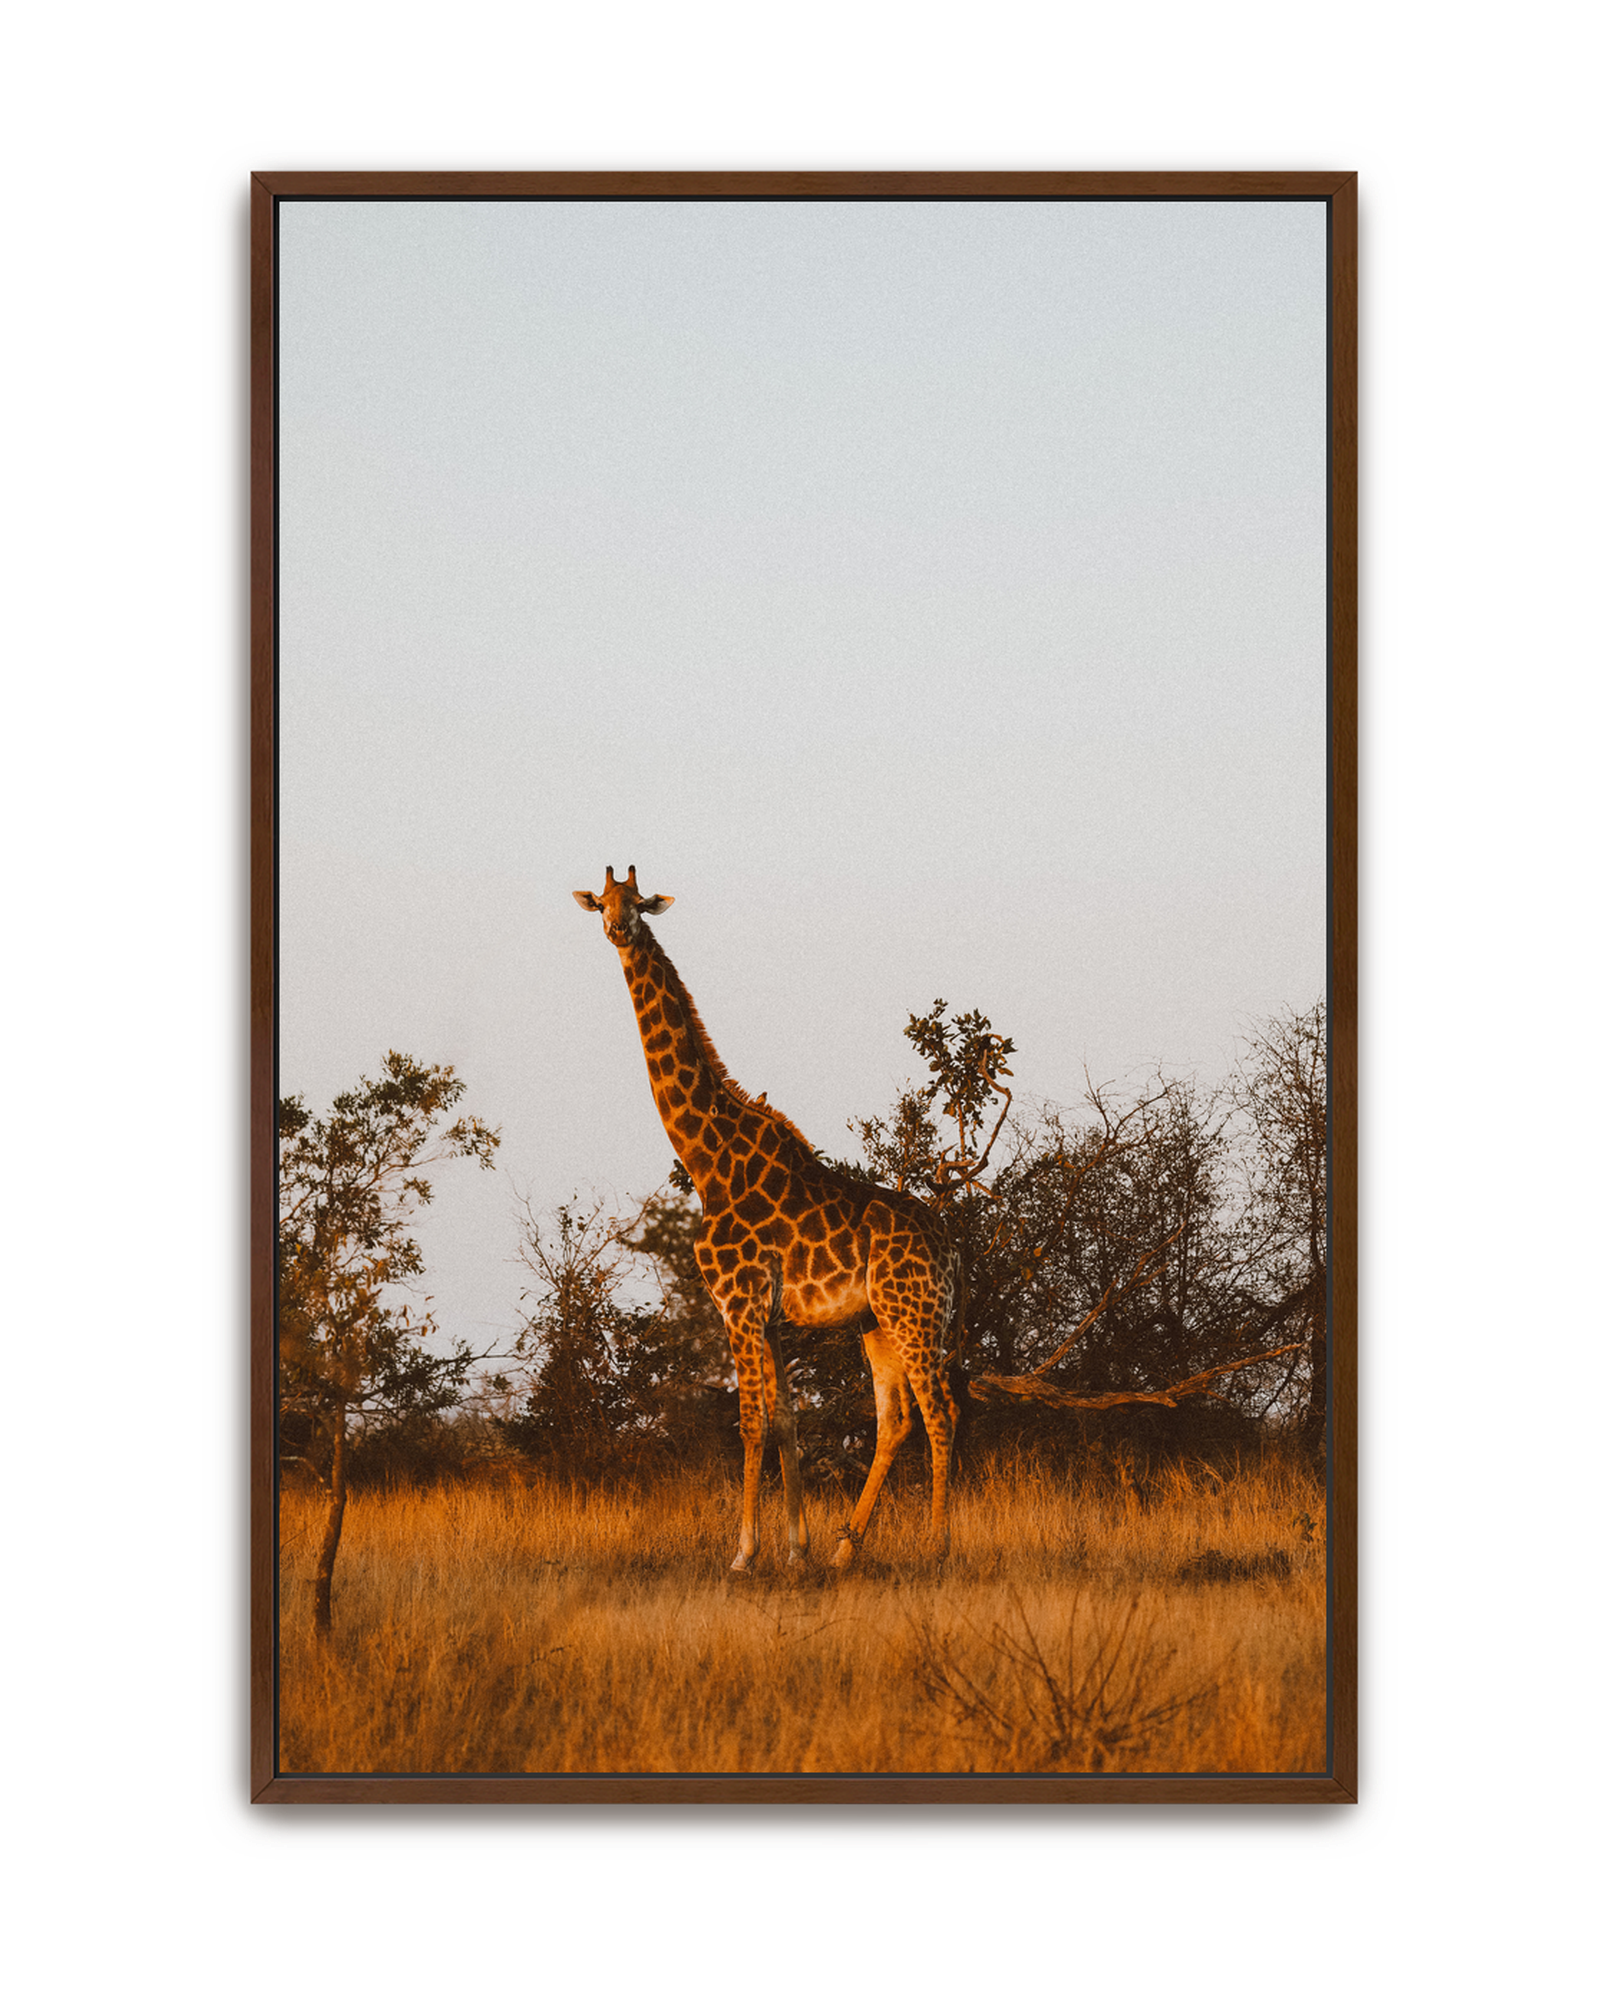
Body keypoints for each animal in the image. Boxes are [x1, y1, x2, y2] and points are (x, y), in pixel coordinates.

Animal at [573, 866, 961, 1571]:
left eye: (638, 902)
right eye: (602, 903)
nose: (617, 929)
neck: (708, 1161)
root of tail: (952, 1248)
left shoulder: (739, 1300)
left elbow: (751, 1420)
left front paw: (744, 1553)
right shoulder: (773, 1316)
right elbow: (786, 1419)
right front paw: (797, 1550)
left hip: (914, 1314)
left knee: (939, 1413)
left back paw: (939, 1548)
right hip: (878, 1322)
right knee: (895, 1420)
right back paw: (844, 1552)